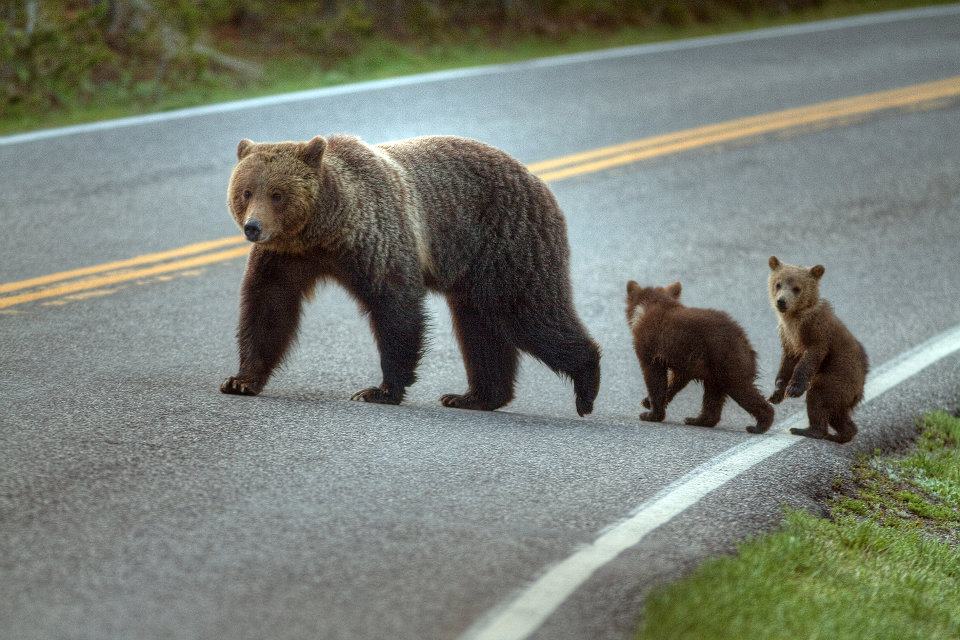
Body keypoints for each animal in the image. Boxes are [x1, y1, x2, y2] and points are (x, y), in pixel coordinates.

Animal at [218, 133, 600, 418]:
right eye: (246, 191)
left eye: (277, 194)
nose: (253, 227)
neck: (324, 228)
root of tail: (539, 180)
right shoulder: (285, 257)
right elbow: (268, 307)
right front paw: (240, 380)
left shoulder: (376, 238)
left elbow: (395, 306)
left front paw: (380, 389)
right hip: (475, 270)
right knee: (480, 327)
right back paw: (474, 396)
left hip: (506, 244)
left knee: (527, 313)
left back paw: (586, 384)